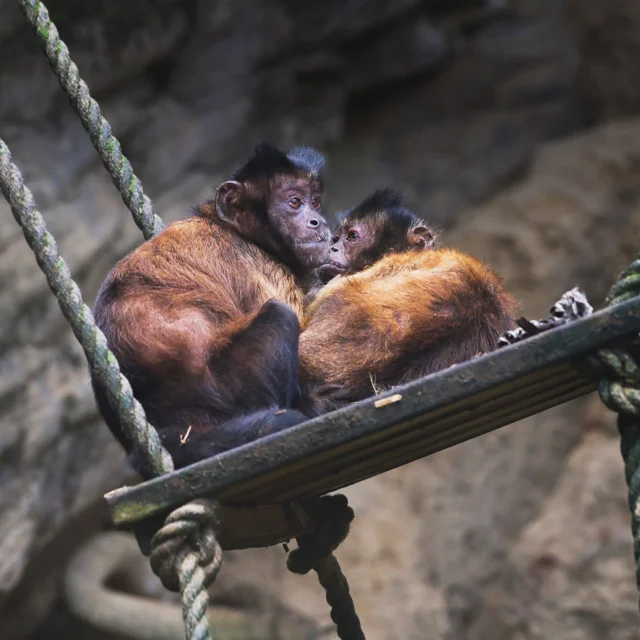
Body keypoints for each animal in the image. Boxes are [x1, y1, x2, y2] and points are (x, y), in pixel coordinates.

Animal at [91, 143, 331, 477]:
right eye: (295, 203)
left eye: (316, 203)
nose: (318, 221)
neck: (236, 231)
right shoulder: (255, 262)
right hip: (222, 390)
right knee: (279, 315)